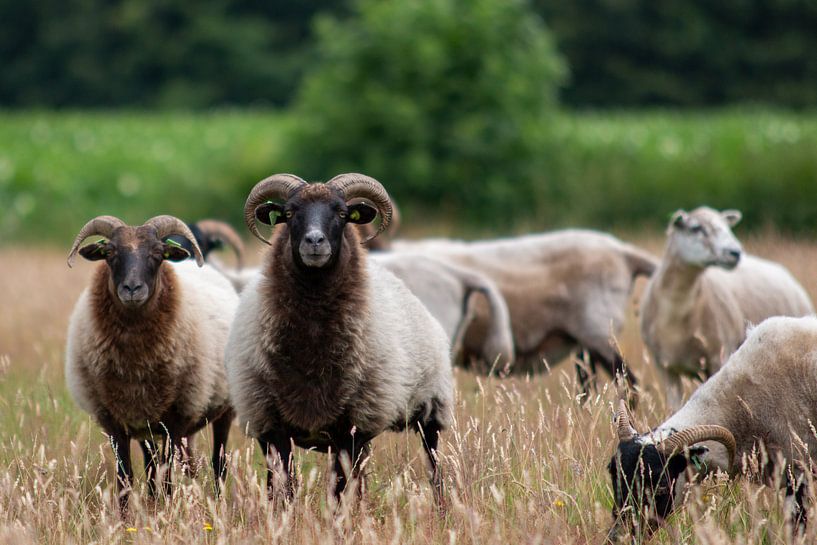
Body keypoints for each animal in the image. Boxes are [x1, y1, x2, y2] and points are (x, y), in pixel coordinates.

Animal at [64, 215, 238, 511]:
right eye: (109, 253)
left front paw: (167, 512)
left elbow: (167, 477)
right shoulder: (116, 422)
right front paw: (126, 517)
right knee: (151, 465)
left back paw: (218, 504)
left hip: (223, 408)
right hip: (146, 424)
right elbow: (126, 476)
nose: (132, 289)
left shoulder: (175, 419)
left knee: (219, 463)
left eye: (158, 254)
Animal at [224, 173, 453, 504]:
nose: (314, 242)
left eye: (343, 214)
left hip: (430, 412)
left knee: (433, 467)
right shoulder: (269, 425)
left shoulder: (351, 427)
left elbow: (339, 490)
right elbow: (282, 486)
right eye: (289, 213)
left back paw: (440, 508)